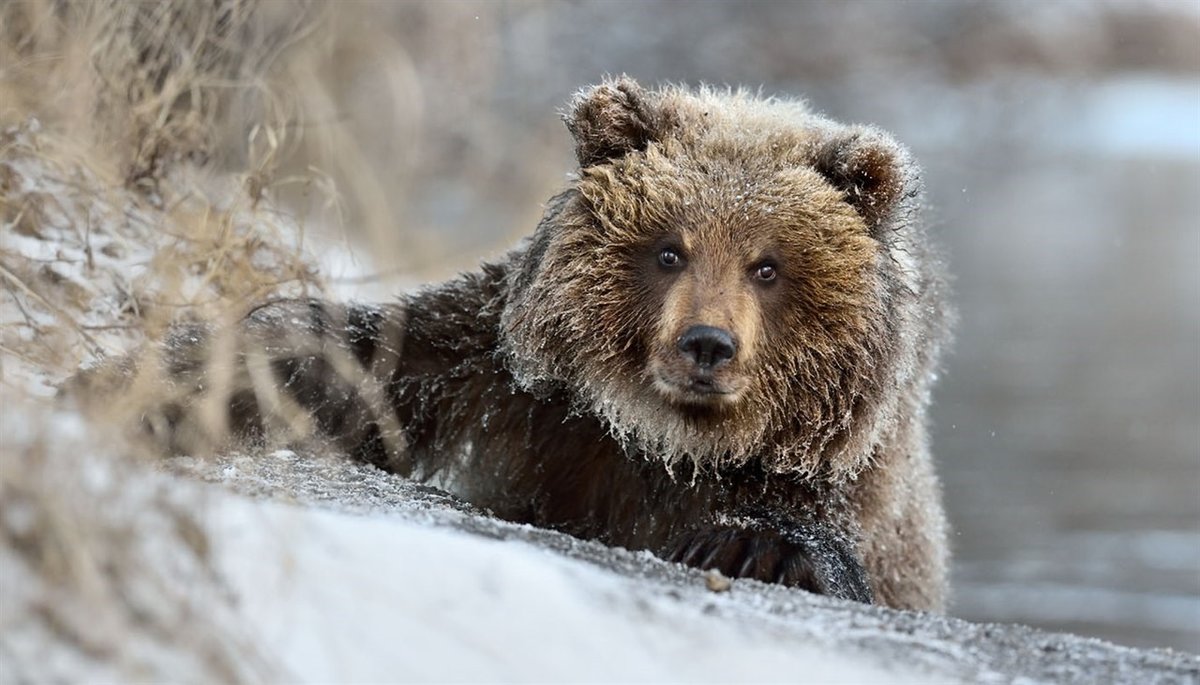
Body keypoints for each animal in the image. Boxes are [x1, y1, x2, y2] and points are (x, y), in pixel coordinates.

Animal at [87, 77, 952, 611]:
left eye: (767, 265)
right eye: (670, 249)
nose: (707, 344)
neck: (665, 438)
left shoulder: (849, 483)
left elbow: (814, 540)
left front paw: (750, 546)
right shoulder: (501, 388)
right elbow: (350, 365)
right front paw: (148, 382)